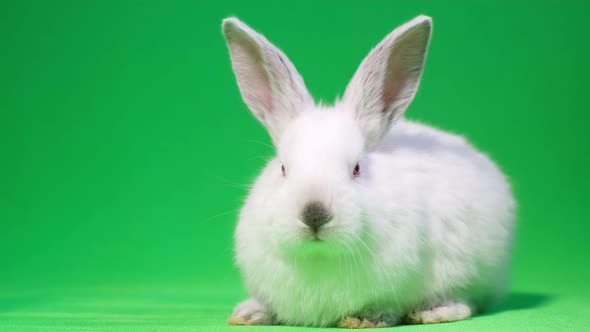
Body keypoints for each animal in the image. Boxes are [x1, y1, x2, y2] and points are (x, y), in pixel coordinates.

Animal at [221, 14, 512, 328]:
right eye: (283, 168)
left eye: (357, 168)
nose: (314, 214)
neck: (321, 258)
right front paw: (249, 313)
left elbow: (387, 305)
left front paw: (365, 318)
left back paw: (434, 311)